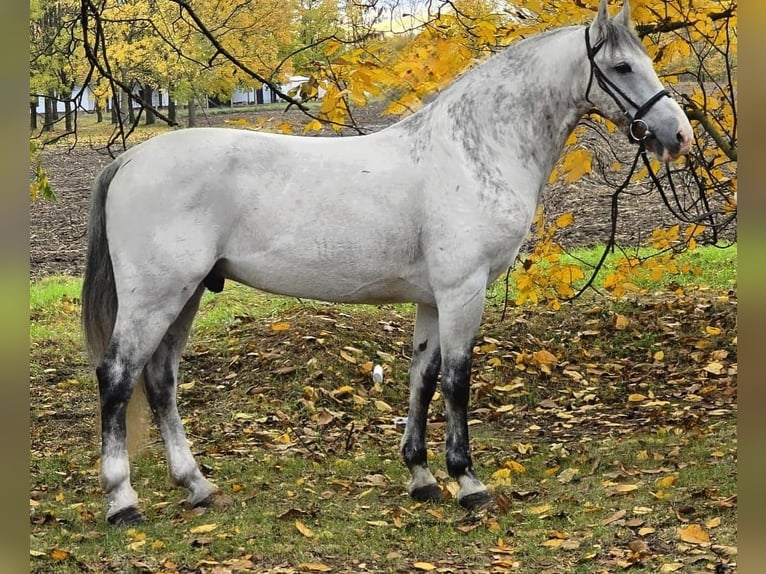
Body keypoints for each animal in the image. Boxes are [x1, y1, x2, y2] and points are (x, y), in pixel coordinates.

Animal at [82, 0, 692, 525]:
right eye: (622, 65)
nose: (679, 135)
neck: (472, 152)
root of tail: (132, 158)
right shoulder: (463, 291)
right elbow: (457, 381)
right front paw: (467, 482)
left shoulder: (433, 300)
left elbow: (422, 378)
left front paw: (421, 476)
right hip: (156, 298)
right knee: (118, 377)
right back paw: (123, 501)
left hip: (184, 297)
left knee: (160, 380)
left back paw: (197, 485)